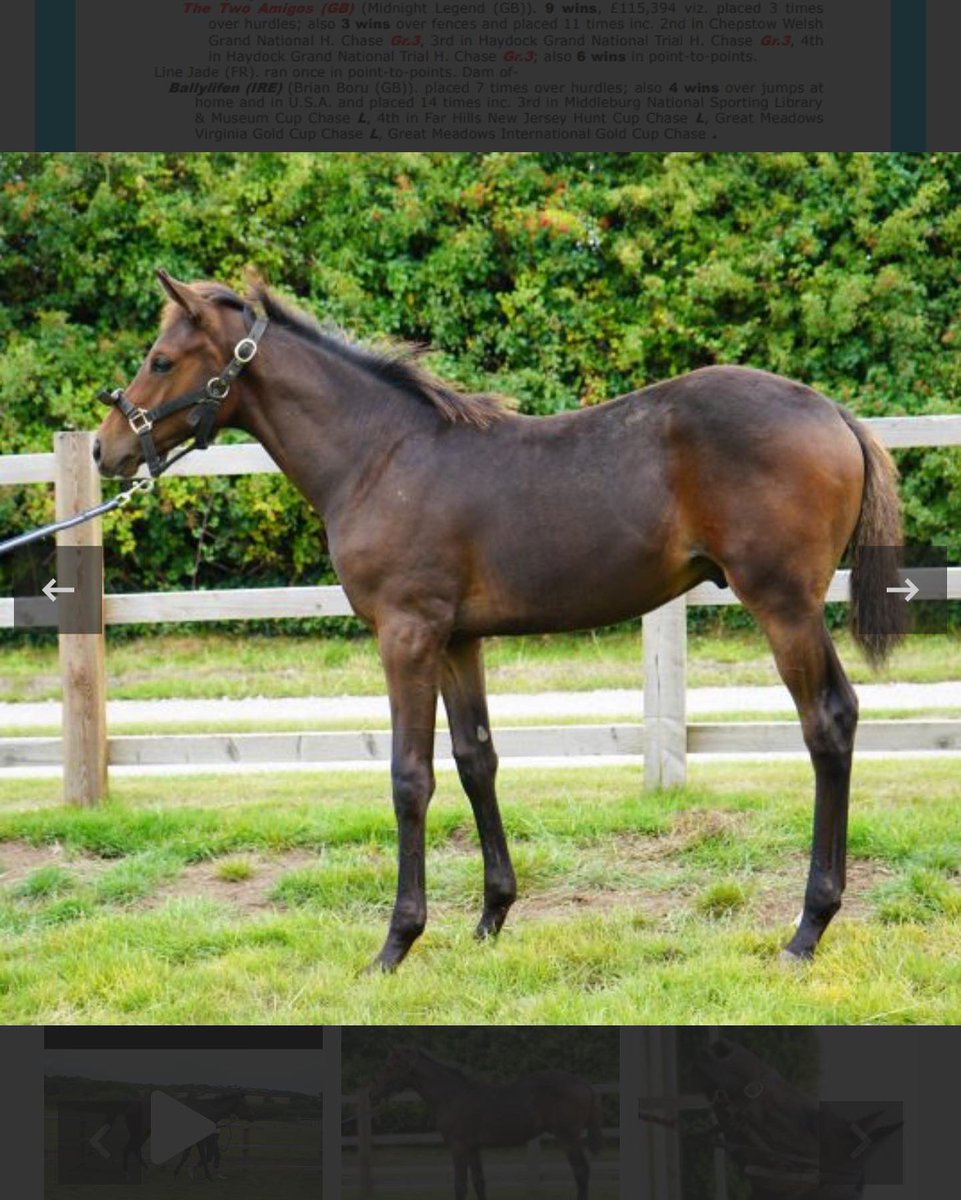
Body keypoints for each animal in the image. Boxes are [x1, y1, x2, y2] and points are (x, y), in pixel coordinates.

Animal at [94, 270, 907, 972]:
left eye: (161, 358)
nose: (107, 448)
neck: (379, 457)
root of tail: (832, 412)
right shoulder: (457, 640)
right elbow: (474, 760)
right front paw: (490, 917)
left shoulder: (406, 633)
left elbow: (409, 778)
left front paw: (396, 942)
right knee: (841, 715)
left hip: (782, 604)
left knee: (826, 722)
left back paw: (807, 929)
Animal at [370, 1045, 603, 1200]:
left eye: (390, 1067)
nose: (373, 1094)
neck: (452, 1096)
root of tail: (585, 1084)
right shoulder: (474, 1148)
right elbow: (479, 1183)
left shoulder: (458, 1147)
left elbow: (460, 1186)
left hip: (568, 1137)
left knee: (581, 1172)